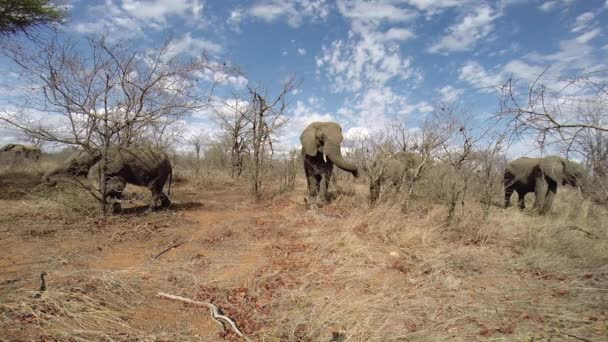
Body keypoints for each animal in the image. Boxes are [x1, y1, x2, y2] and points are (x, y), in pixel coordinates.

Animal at [43, 147, 172, 214]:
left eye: (75, 164)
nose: (51, 182)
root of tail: (169, 160)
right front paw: (113, 211)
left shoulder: (117, 167)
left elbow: (119, 183)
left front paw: (111, 211)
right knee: (155, 188)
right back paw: (164, 207)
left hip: (161, 170)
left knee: (154, 188)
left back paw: (149, 211)